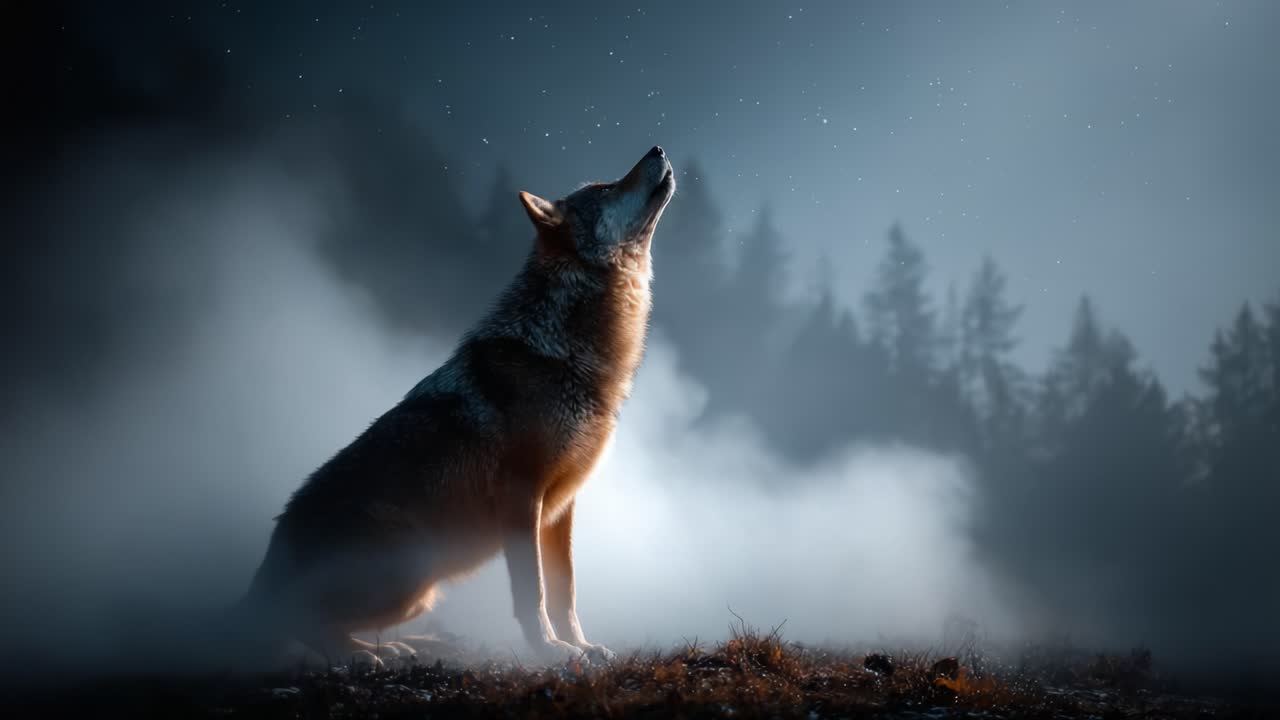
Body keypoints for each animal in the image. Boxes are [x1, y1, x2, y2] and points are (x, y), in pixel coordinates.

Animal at [231, 146, 675, 668]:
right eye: (606, 188)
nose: (657, 150)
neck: (568, 352)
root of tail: (264, 568)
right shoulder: (521, 495)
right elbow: (533, 592)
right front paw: (549, 651)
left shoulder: (561, 507)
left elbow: (566, 592)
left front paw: (581, 647)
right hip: (411, 568)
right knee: (298, 621)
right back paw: (366, 656)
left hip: (419, 588)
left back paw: (404, 647)